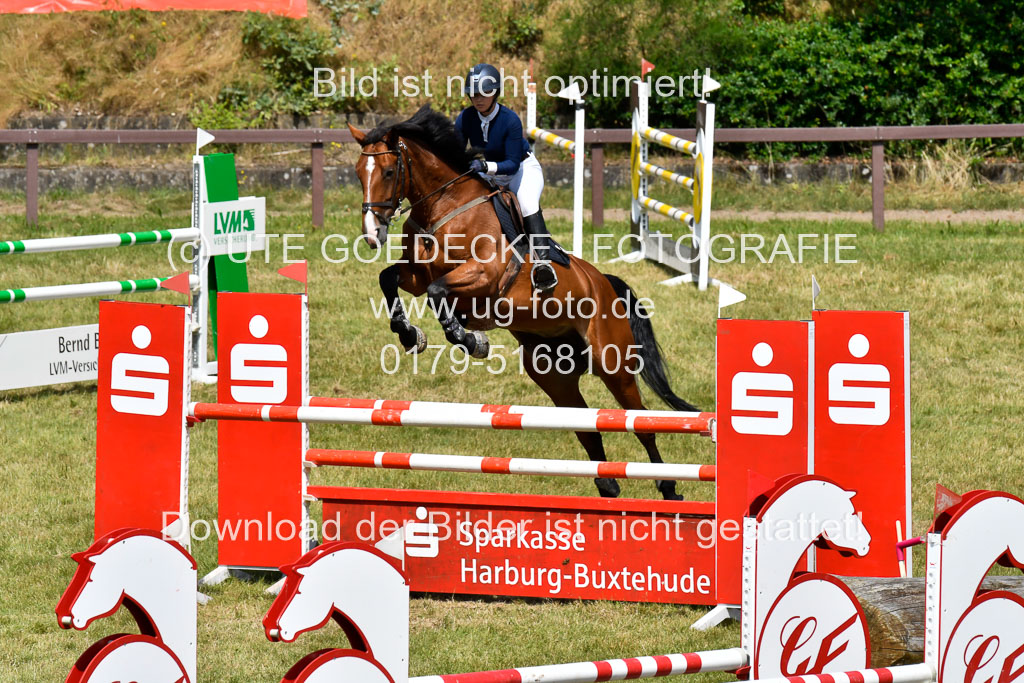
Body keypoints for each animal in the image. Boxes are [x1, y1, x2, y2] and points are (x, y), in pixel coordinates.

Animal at [348, 105, 701, 501]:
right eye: (358, 173)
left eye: (388, 171)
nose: (372, 233)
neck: (444, 207)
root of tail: (603, 284)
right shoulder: (415, 277)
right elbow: (389, 279)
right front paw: (411, 335)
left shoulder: (484, 275)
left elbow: (440, 293)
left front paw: (470, 339)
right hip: (553, 374)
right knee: (586, 426)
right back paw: (608, 485)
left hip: (613, 363)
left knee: (639, 422)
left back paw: (668, 487)